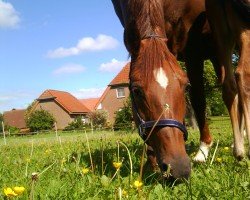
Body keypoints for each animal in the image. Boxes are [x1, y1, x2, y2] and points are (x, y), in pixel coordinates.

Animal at [112, 0, 250, 180]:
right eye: (136, 91)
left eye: (185, 86)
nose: (178, 168)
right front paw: (151, 161)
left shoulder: (193, 46)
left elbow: (198, 99)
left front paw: (203, 149)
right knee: (232, 86)